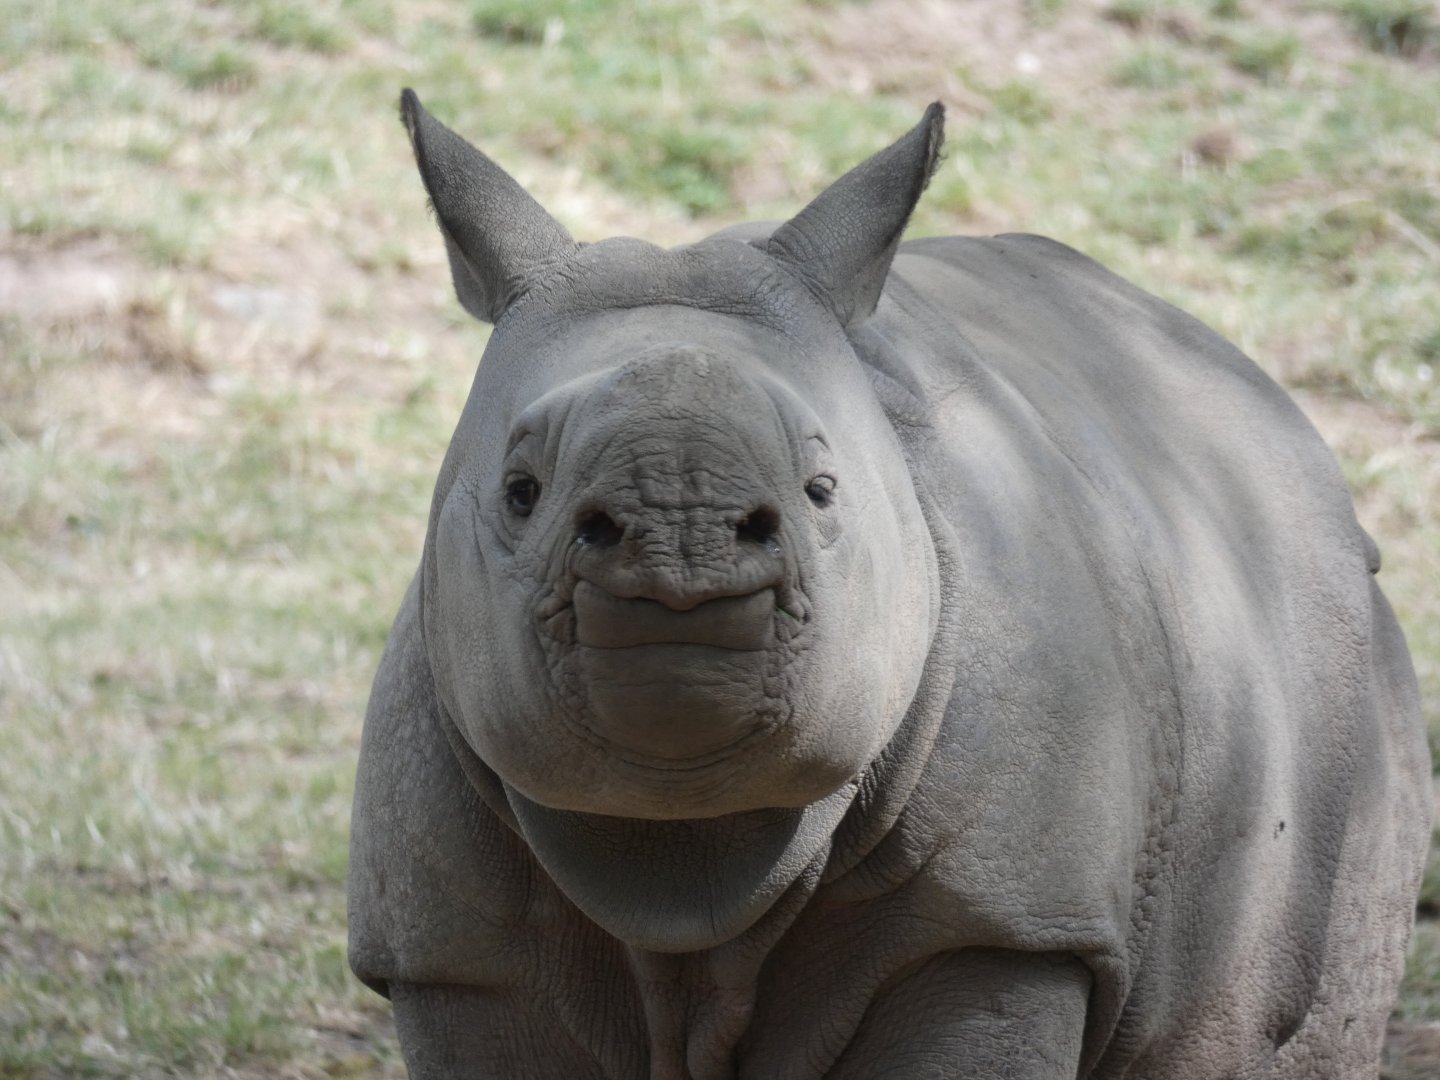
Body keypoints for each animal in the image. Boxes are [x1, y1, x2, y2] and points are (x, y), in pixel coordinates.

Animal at [347, 91, 1431, 1079]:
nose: (678, 523)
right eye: (520, 492)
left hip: (1337, 675)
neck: (683, 858)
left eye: (823, 491)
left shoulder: (1003, 926)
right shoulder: (452, 950)